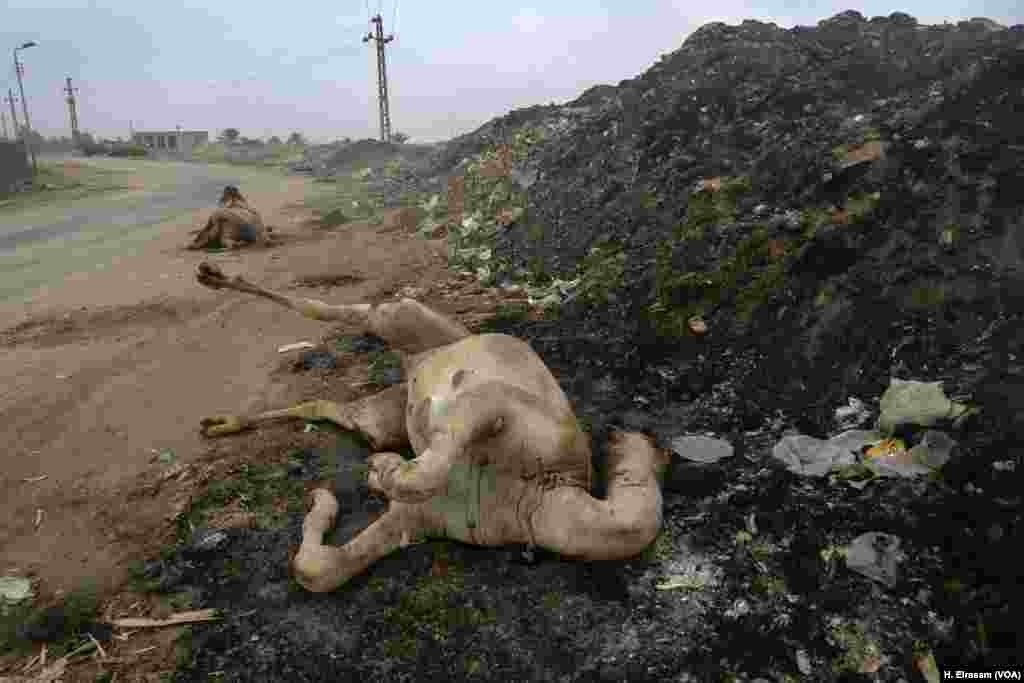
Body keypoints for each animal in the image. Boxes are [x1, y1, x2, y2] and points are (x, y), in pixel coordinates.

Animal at [194, 262, 669, 593]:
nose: (628, 435)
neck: (537, 495)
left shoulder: (419, 518)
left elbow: (321, 569)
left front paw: (362, 480)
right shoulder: (493, 404)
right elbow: (425, 468)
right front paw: (384, 471)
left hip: (380, 414)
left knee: (330, 407)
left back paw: (225, 423)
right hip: (403, 316)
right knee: (344, 309)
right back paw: (216, 276)